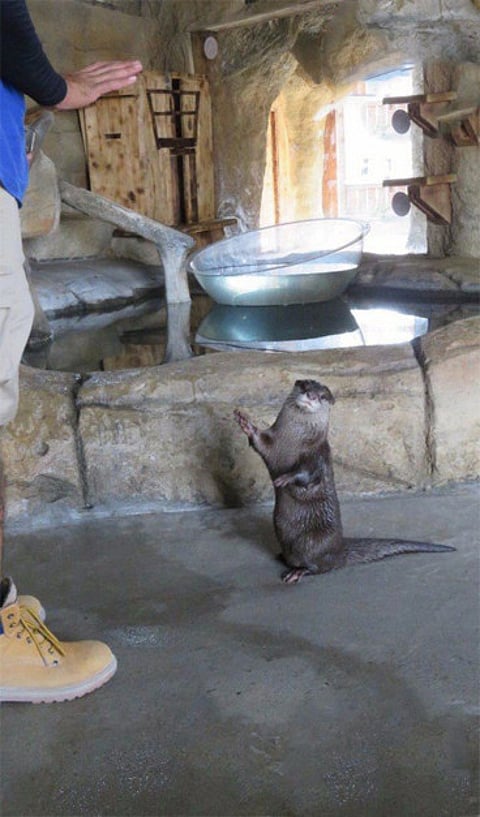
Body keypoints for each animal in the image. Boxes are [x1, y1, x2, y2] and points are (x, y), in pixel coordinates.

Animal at [234, 379, 455, 584]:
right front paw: (244, 422)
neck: (293, 441)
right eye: (304, 386)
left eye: (322, 396)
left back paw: (298, 571)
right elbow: (259, 442)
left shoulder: (317, 454)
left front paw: (286, 478)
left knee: (320, 566)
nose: (311, 395)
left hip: (313, 542)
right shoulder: (273, 443)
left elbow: (308, 474)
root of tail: (339, 549)